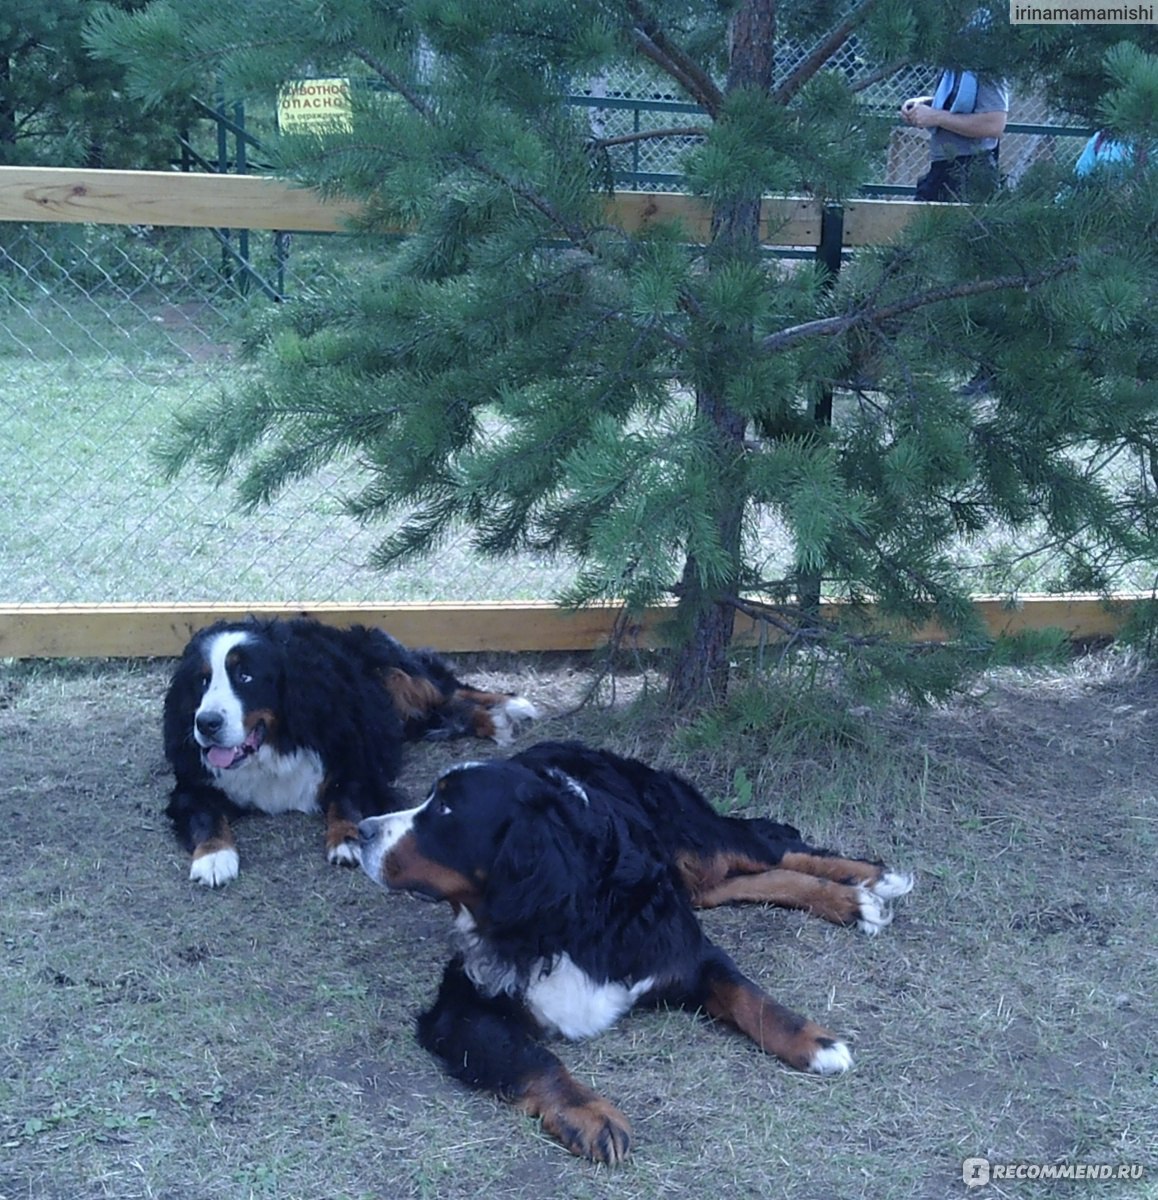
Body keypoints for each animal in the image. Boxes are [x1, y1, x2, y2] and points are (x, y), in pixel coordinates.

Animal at [160, 619, 535, 892]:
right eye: (202, 681)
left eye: (245, 676)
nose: (206, 723)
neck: (275, 746)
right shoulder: (194, 786)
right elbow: (205, 815)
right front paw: (213, 858)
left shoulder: (355, 764)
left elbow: (346, 799)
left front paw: (346, 840)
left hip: (398, 672)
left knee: (449, 689)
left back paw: (510, 708)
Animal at [357, 734, 916, 1166]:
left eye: (445, 808)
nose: (362, 830)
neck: (567, 920)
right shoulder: (461, 1006)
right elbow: (532, 1058)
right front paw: (591, 1114)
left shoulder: (685, 954)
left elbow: (751, 998)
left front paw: (814, 1041)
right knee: (733, 880)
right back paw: (853, 898)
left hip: (687, 835)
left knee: (767, 848)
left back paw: (867, 882)